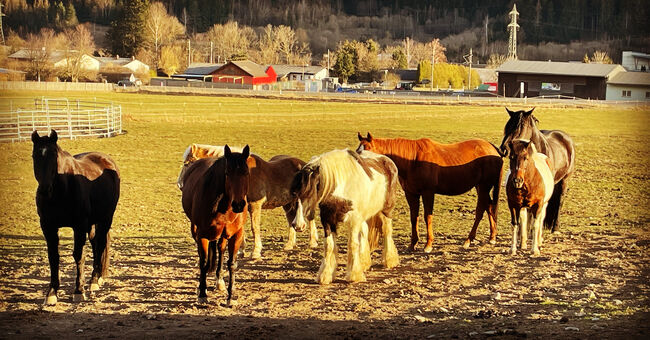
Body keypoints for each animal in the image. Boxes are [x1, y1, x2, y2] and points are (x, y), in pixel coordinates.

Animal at [30, 130, 119, 306]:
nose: (44, 189)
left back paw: (94, 280)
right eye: (34, 155)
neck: (62, 190)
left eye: (54, 155)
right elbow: (53, 257)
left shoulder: (79, 226)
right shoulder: (48, 227)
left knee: (100, 245)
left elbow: (79, 255)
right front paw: (51, 293)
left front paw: (79, 290)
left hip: (105, 219)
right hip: (92, 224)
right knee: (95, 243)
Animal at [177, 143, 318, 258]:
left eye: (187, 163)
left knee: (310, 217)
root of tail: (304, 164)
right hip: (288, 202)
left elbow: (254, 227)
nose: (180, 184)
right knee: (290, 219)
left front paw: (255, 251)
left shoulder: (255, 205)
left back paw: (312, 242)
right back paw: (290, 244)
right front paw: (241, 250)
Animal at [182, 145, 251, 304]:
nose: (239, 205)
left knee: (220, 249)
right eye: (227, 173)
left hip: (224, 235)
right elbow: (203, 262)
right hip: (196, 230)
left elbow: (231, 263)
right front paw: (202, 293)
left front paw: (231, 296)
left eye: (246, 172)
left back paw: (219, 281)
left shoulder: (236, 234)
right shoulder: (202, 234)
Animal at [290, 149, 400, 284]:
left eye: (309, 192)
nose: (297, 225)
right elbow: (329, 245)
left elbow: (352, 244)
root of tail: (387, 161)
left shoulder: (353, 221)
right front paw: (325, 275)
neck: (341, 188)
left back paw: (389, 260)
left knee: (387, 231)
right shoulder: (327, 220)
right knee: (364, 231)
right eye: (294, 193)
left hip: (386, 211)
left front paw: (354, 275)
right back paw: (364, 262)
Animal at [354, 131, 502, 251]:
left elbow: (427, 217)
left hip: (484, 186)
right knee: (489, 206)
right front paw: (413, 244)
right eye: (357, 149)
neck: (412, 160)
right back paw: (492, 237)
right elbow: (414, 218)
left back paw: (468, 240)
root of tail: (493, 149)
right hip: (480, 187)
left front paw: (428, 245)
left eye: (368, 149)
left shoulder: (428, 193)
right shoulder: (411, 194)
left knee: (480, 210)